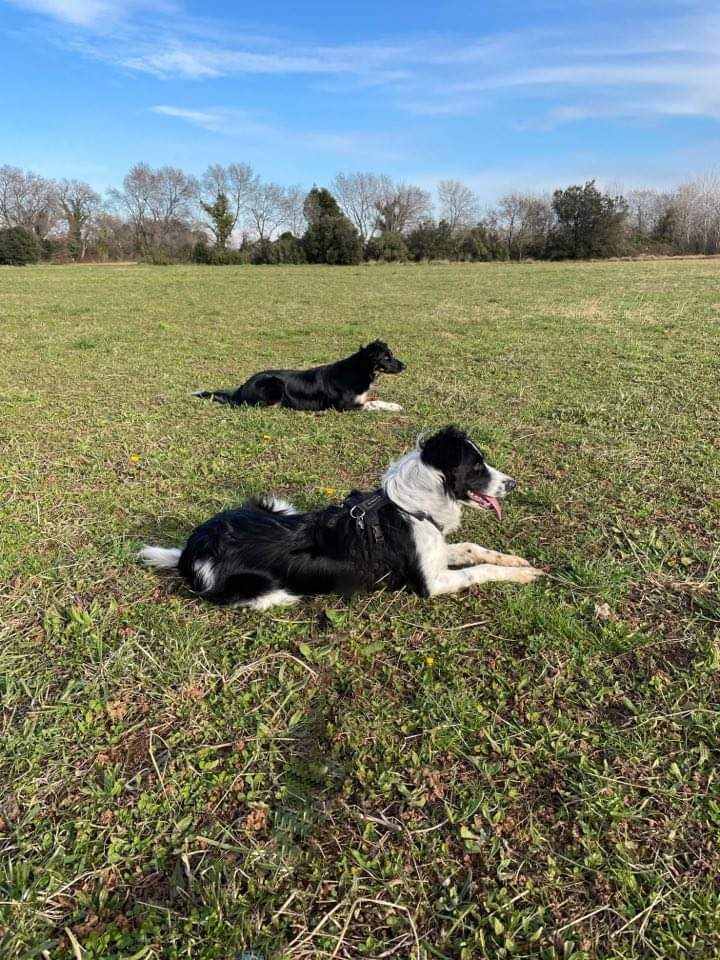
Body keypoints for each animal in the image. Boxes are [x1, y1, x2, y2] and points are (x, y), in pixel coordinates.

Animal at [141, 426, 544, 608]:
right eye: (477, 467)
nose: (513, 484)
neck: (413, 509)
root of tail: (190, 551)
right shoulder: (431, 583)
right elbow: (479, 570)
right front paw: (523, 575)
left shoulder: (437, 552)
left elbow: (475, 549)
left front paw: (516, 560)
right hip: (266, 591)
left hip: (275, 504)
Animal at [191, 340, 404, 410]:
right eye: (387, 357)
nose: (405, 366)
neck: (359, 369)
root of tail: (243, 387)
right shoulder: (343, 406)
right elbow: (371, 403)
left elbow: (375, 399)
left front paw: (394, 405)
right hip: (274, 385)